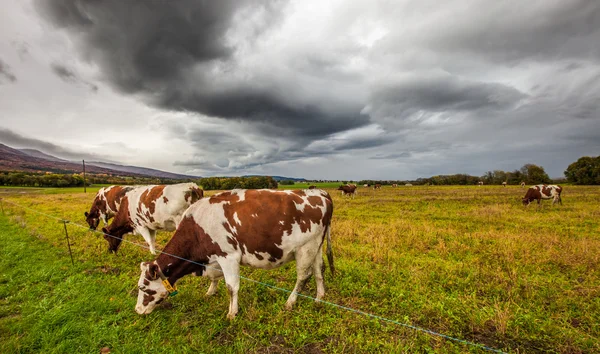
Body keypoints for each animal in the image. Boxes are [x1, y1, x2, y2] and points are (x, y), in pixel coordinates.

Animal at [133, 189, 336, 320]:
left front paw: (232, 313)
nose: (137, 310)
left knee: (304, 276)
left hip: (305, 248)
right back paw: (319, 297)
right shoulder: (214, 258)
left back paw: (290, 302)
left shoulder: (228, 256)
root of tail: (320, 193)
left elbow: (232, 287)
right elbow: (215, 277)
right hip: (315, 246)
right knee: (319, 270)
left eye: (143, 288)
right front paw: (211, 292)